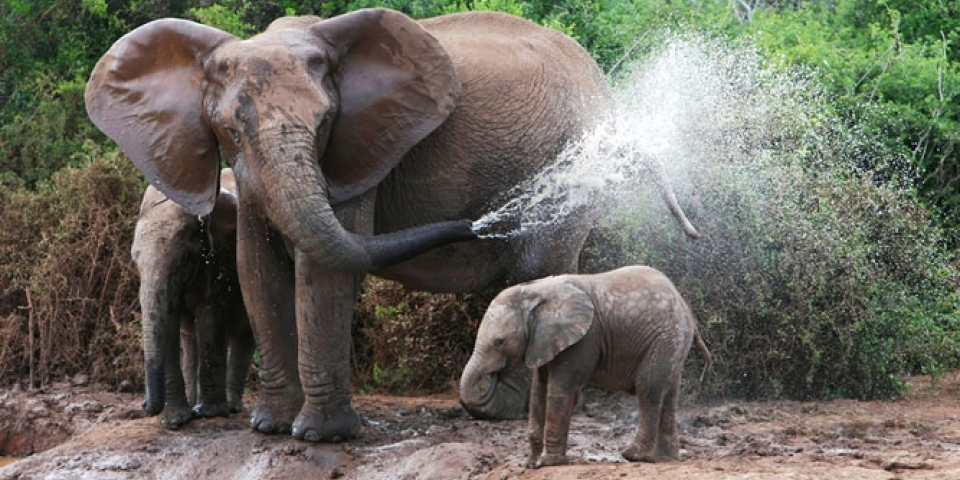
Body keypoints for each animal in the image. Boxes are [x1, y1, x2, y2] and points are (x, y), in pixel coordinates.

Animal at [132, 168, 255, 428]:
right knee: (191, 339)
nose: (144, 405)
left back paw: (230, 407)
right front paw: (175, 422)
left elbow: (209, 314)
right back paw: (193, 404)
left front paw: (209, 414)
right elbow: (169, 324)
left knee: (244, 333)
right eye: (135, 262)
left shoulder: (219, 258)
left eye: (183, 259)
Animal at [459, 265, 711, 468]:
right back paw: (663, 458)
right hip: (673, 341)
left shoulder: (583, 339)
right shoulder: (544, 342)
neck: (536, 290)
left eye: (499, 341)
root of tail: (686, 309)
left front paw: (548, 463)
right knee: (669, 393)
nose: (492, 376)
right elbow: (538, 392)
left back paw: (632, 455)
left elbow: (560, 391)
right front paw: (531, 464)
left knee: (649, 388)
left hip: (665, 337)